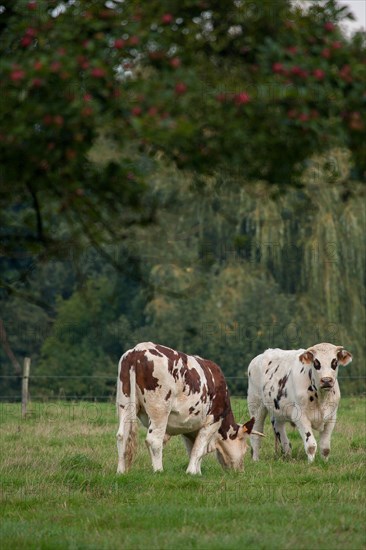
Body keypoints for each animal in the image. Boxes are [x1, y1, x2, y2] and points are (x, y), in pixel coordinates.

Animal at [117, 342, 264, 476]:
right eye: (245, 448)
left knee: (122, 435)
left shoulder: (189, 426)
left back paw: (120, 472)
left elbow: (194, 448)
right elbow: (199, 449)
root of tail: (138, 350)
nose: (240, 471)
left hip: (125, 404)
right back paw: (159, 471)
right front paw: (192, 472)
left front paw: (197, 472)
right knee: (154, 440)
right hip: (159, 410)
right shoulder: (212, 420)